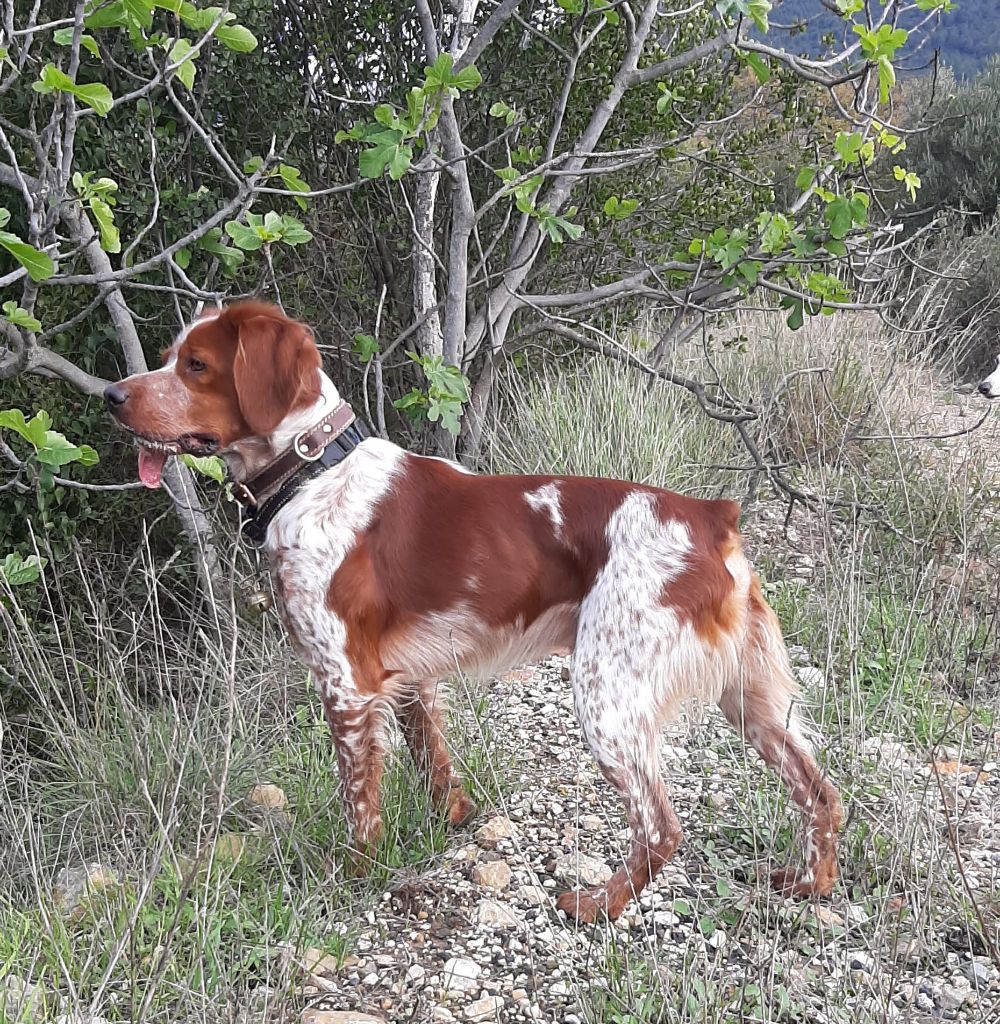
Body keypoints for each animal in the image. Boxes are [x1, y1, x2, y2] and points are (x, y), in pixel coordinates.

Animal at [105, 301, 843, 921]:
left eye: (196, 365)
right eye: (169, 356)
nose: (112, 396)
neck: (315, 473)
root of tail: (713, 518)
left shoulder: (346, 684)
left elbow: (359, 803)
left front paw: (352, 878)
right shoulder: (405, 678)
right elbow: (432, 759)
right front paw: (452, 819)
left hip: (608, 698)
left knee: (662, 827)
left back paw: (596, 905)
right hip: (749, 696)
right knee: (820, 790)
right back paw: (809, 883)